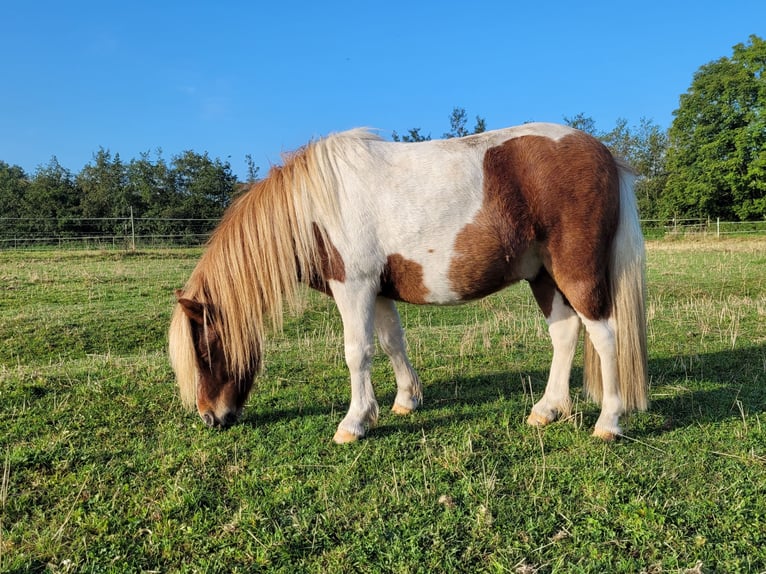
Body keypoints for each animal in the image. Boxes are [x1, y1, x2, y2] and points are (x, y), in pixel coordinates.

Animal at [168, 122, 648, 446]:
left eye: (206, 350)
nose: (211, 418)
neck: (317, 207)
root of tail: (603, 153)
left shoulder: (354, 287)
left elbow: (357, 352)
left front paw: (354, 422)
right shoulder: (378, 290)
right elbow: (390, 341)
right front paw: (405, 400)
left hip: (576, 272)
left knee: (606, 335)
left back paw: (608, 422)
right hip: (543, 275)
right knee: (565, 334)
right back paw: (547, 410)